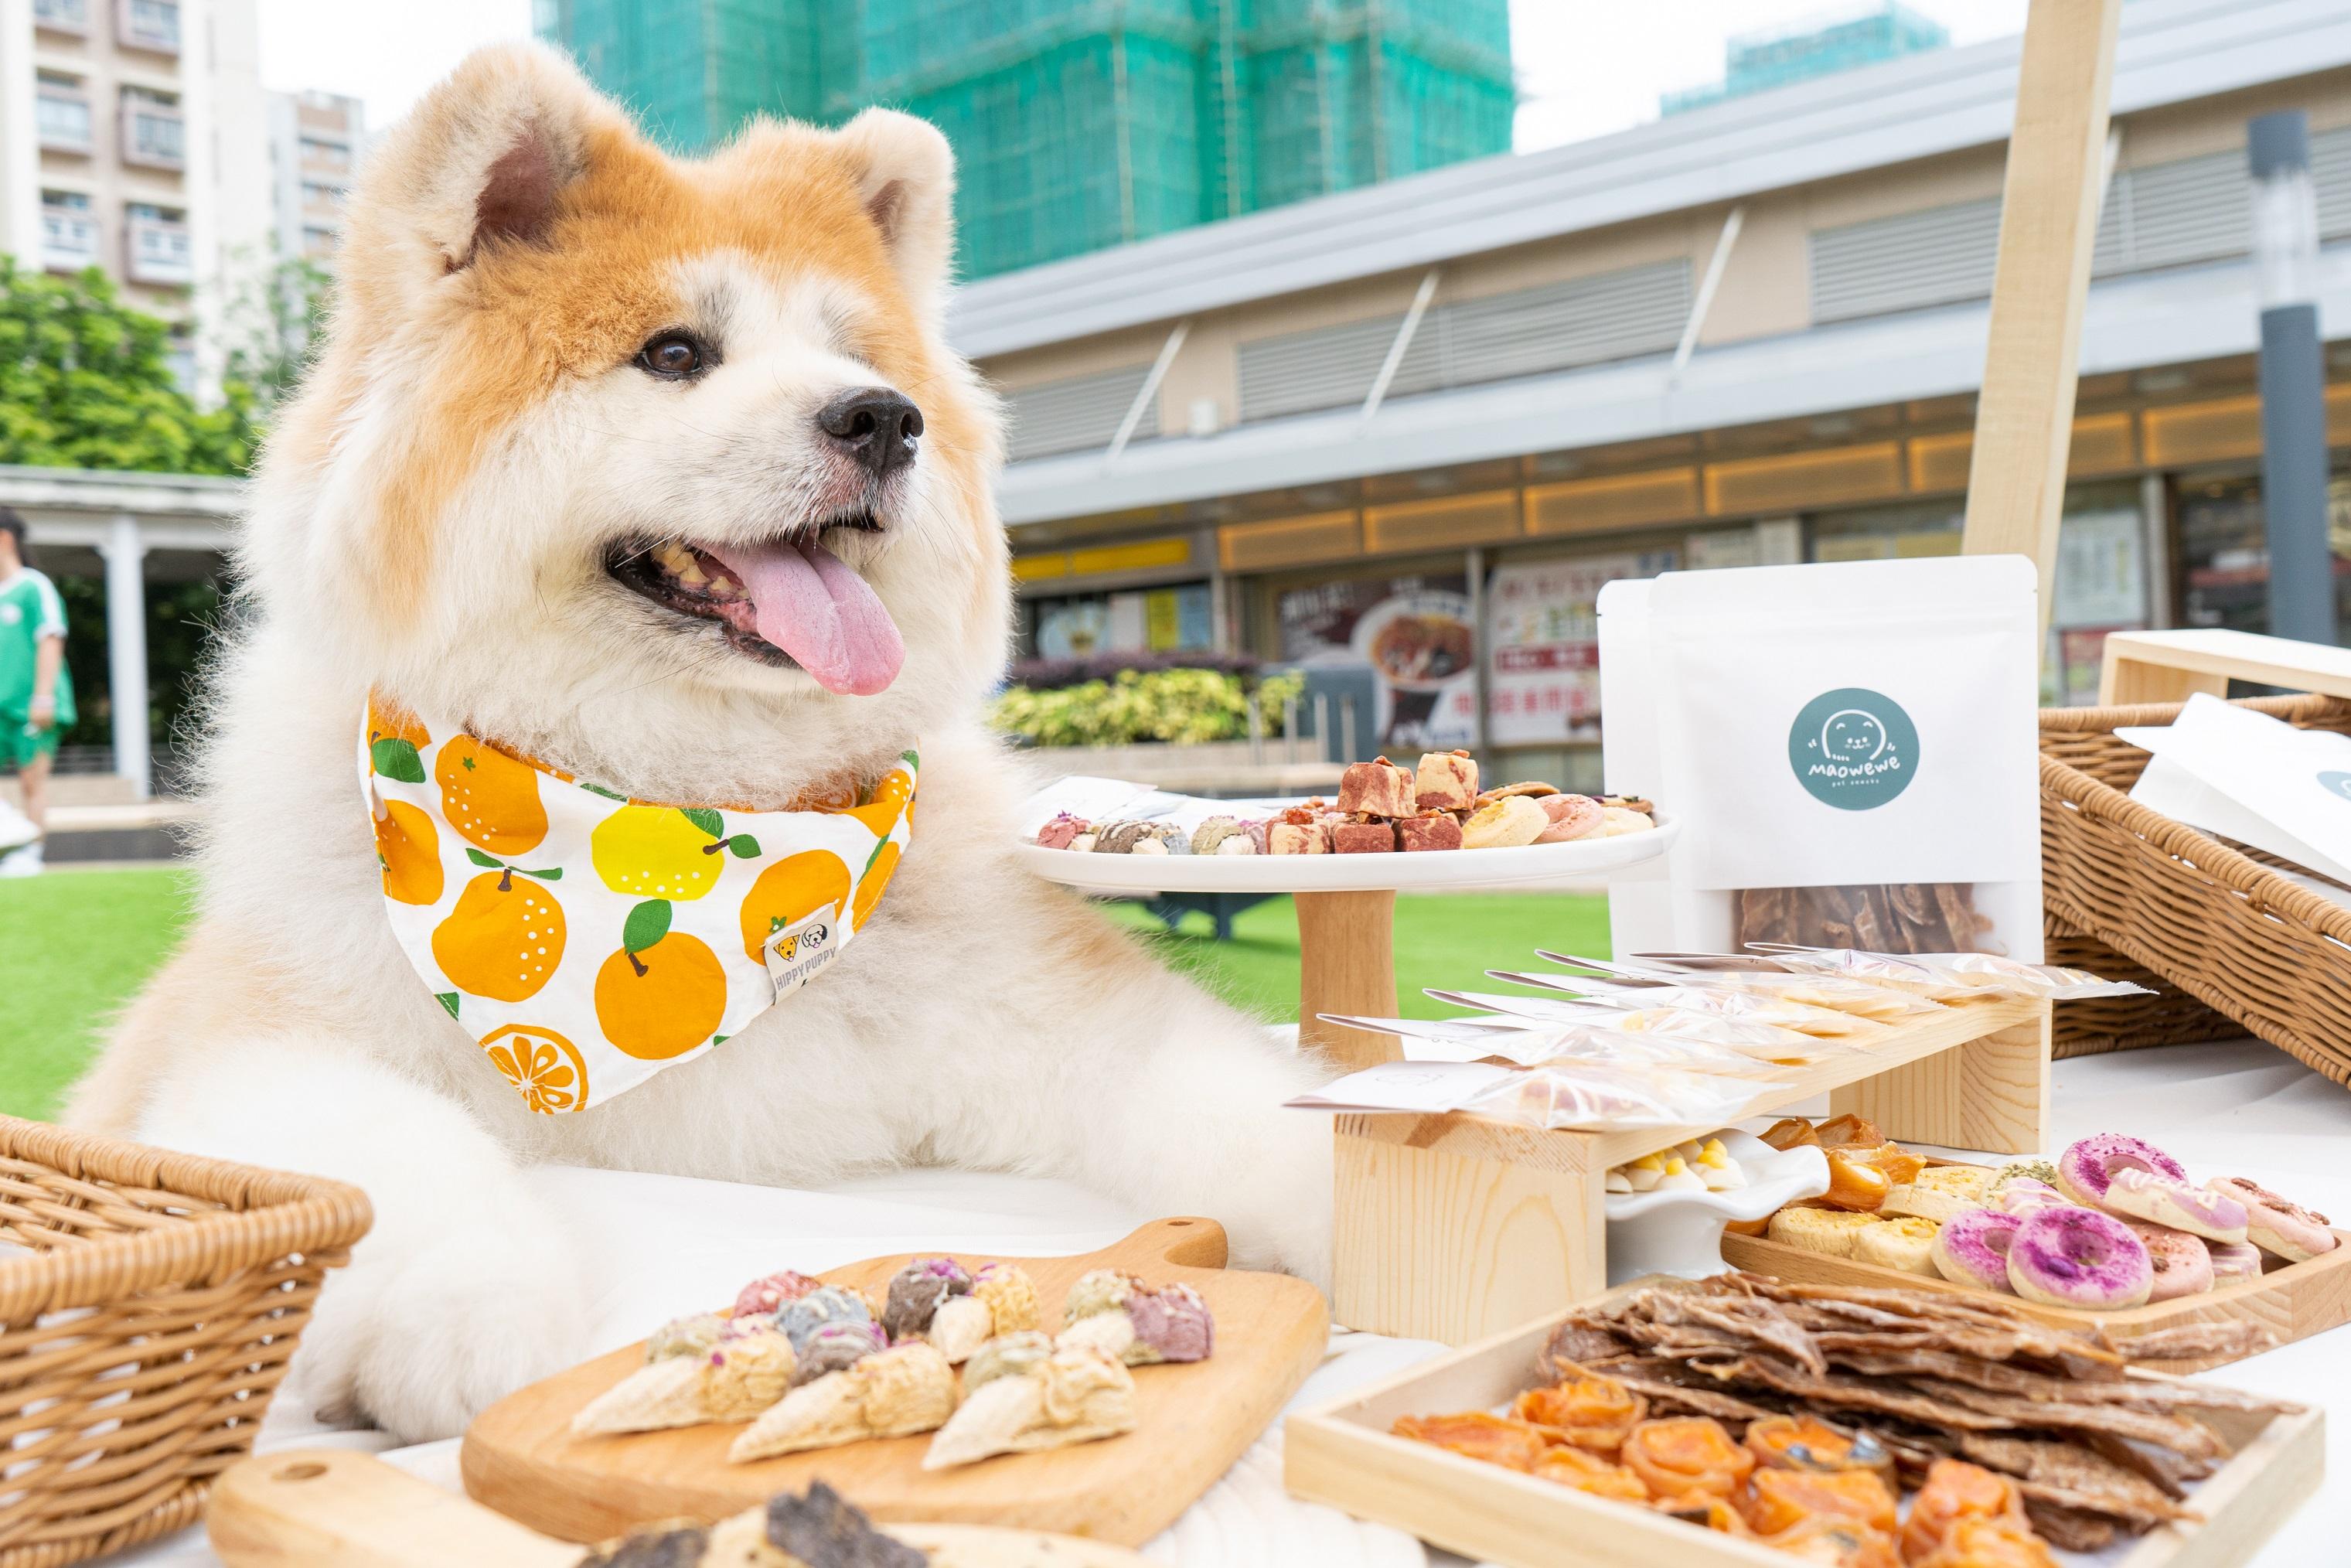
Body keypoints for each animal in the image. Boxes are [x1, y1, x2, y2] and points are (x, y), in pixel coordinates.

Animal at [64, 43, 1335, 1447]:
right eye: (675, 353)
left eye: (856, 358)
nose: (884, 420)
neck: (669, 818)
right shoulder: (245, 1042)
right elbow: (376, 1150)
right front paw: (463, 1301)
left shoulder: (1063, 1024)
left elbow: (1266, 1109)